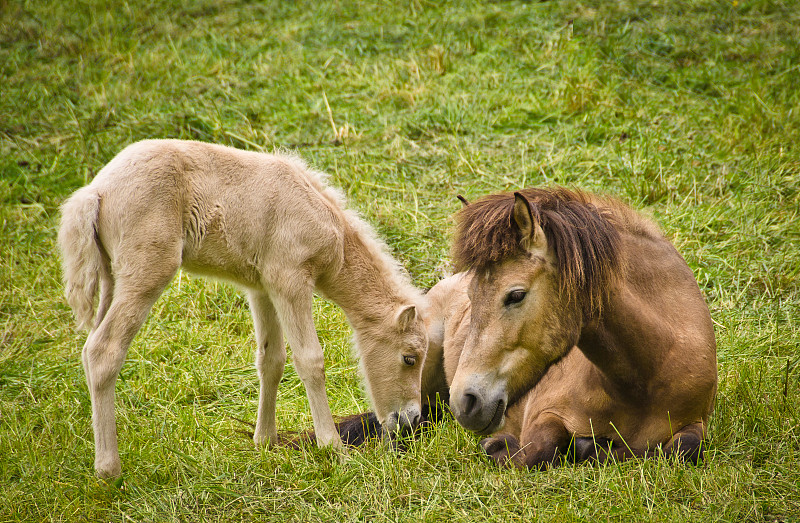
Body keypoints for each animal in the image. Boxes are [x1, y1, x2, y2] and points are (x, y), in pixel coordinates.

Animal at [58, 139, 428, 478]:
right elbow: (310, 360)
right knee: (104, 350)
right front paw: (333, 448)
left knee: (89, 349)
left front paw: (264, 440)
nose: (410, 420)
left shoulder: (262, 287)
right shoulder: (290, 280)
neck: (324, 222)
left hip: (111, 276)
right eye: (409, 358)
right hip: (147, 270)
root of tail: (95, 192)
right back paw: (109, 470)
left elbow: (271, 360)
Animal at [334, 188, 716, 470]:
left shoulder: (695, 423)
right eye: (473, 295)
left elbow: (682, 451)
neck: (645, 377)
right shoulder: (546, 414)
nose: (465, 401)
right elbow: (537, 452)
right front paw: (499, 446)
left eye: (515, 295)